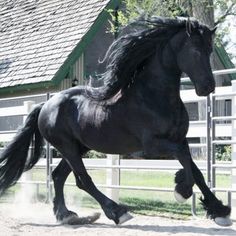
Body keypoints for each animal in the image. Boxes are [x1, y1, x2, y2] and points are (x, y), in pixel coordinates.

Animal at [0, 16, 232, 227]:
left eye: (210, 50)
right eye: (195, 50)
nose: (208, 87)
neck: (153, 96)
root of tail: (46, 105)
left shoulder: (180, 139)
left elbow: (197, 171)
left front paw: (219, 211)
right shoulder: (152, 146)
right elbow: (185, 160)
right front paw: (181, 190)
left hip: (77, 148)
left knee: (58, 176)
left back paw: (67, 215)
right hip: (67, 147)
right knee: (83, 180)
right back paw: (117, 212)